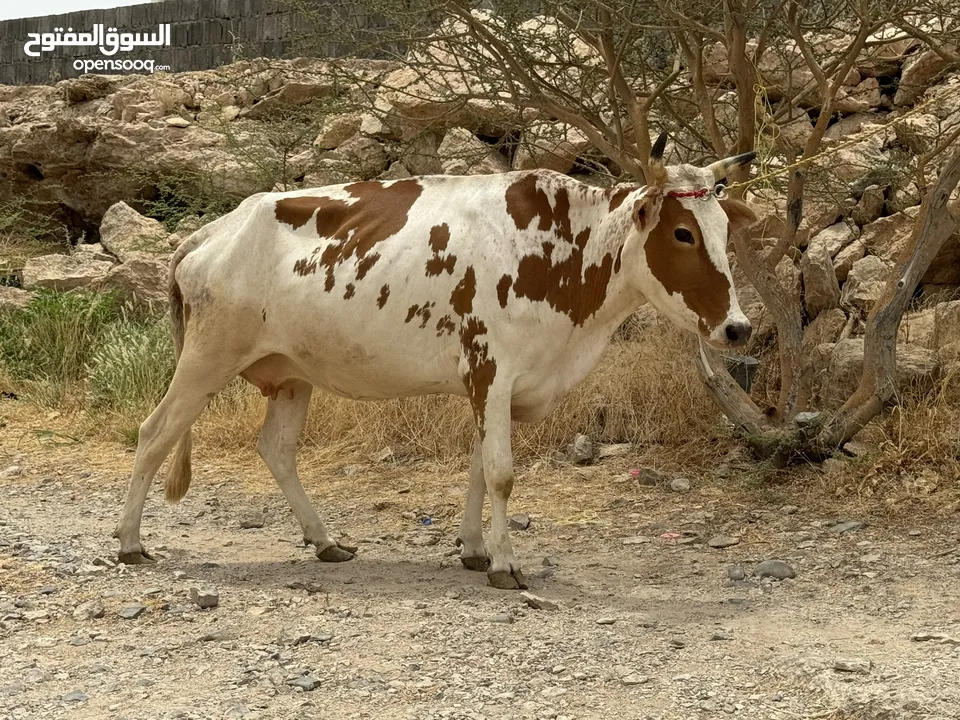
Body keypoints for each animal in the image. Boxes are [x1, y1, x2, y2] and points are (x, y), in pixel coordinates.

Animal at [112, 135, 756, 592]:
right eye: (682, 233)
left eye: (726, 230)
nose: (737, 327)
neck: (565, 251)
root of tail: (208, 233)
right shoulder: (491, 370)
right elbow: (501, 472)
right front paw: (504, 564)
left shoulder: (494, 385)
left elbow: (476, 468)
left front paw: (474, 550)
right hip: (206, 359)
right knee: (154, 432)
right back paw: (129, 543)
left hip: (292, 373)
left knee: (275, 449)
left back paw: (325, 541)